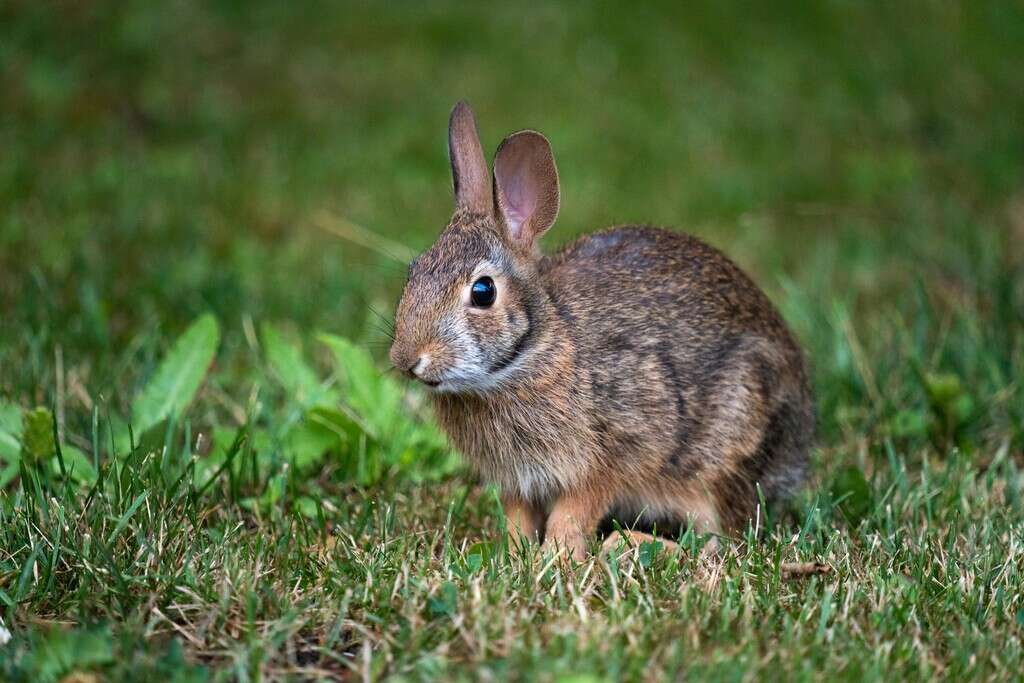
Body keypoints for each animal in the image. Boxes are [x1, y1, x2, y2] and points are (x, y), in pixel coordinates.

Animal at [387, 102, 811, 561]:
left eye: (483, 292)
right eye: (414, 272)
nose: (407, 360)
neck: (534, 350)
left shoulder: (612, 454)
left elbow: (575, 511)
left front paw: (558, 558)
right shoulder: (518, 481)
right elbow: (518, 517)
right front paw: (515, 555)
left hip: (723, 452)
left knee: (721, 541)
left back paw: (630, 545)